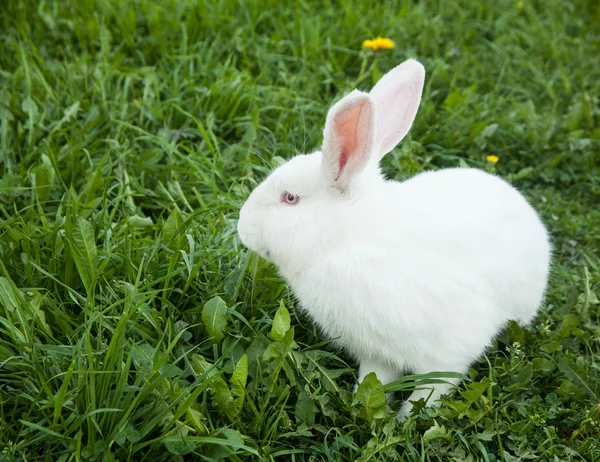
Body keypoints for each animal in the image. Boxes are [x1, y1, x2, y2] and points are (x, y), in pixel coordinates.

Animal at [237, 57, 552, 418]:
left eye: (290, 198)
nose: (242, 225)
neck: (347, 240)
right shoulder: (377, 352)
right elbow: (375, 379)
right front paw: (365, 406)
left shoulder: (448, 353)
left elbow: (431, 391)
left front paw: (406, 420)